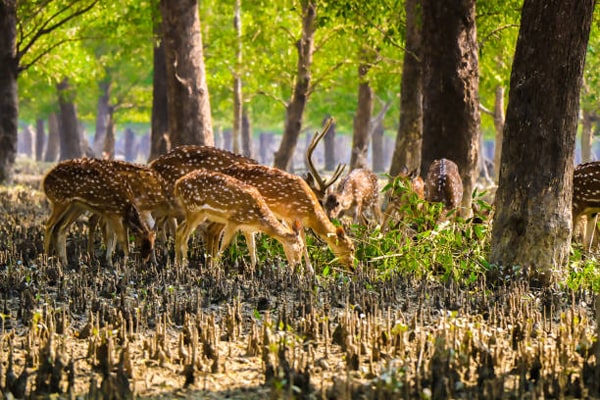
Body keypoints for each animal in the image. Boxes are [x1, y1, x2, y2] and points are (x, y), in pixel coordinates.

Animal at [173, 169, 304, 268]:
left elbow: (252, 250)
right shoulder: (233, 221)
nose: (298, 264)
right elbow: (224, 244)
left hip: (198, 213)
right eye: (301, 247)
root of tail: (177, 184)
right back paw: (184, 265)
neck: (258, 219)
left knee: (179, 230)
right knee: (185, 235)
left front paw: (253, 272)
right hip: (193, 209)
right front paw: (215, 270)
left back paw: (177, 265)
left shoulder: (247, 228)